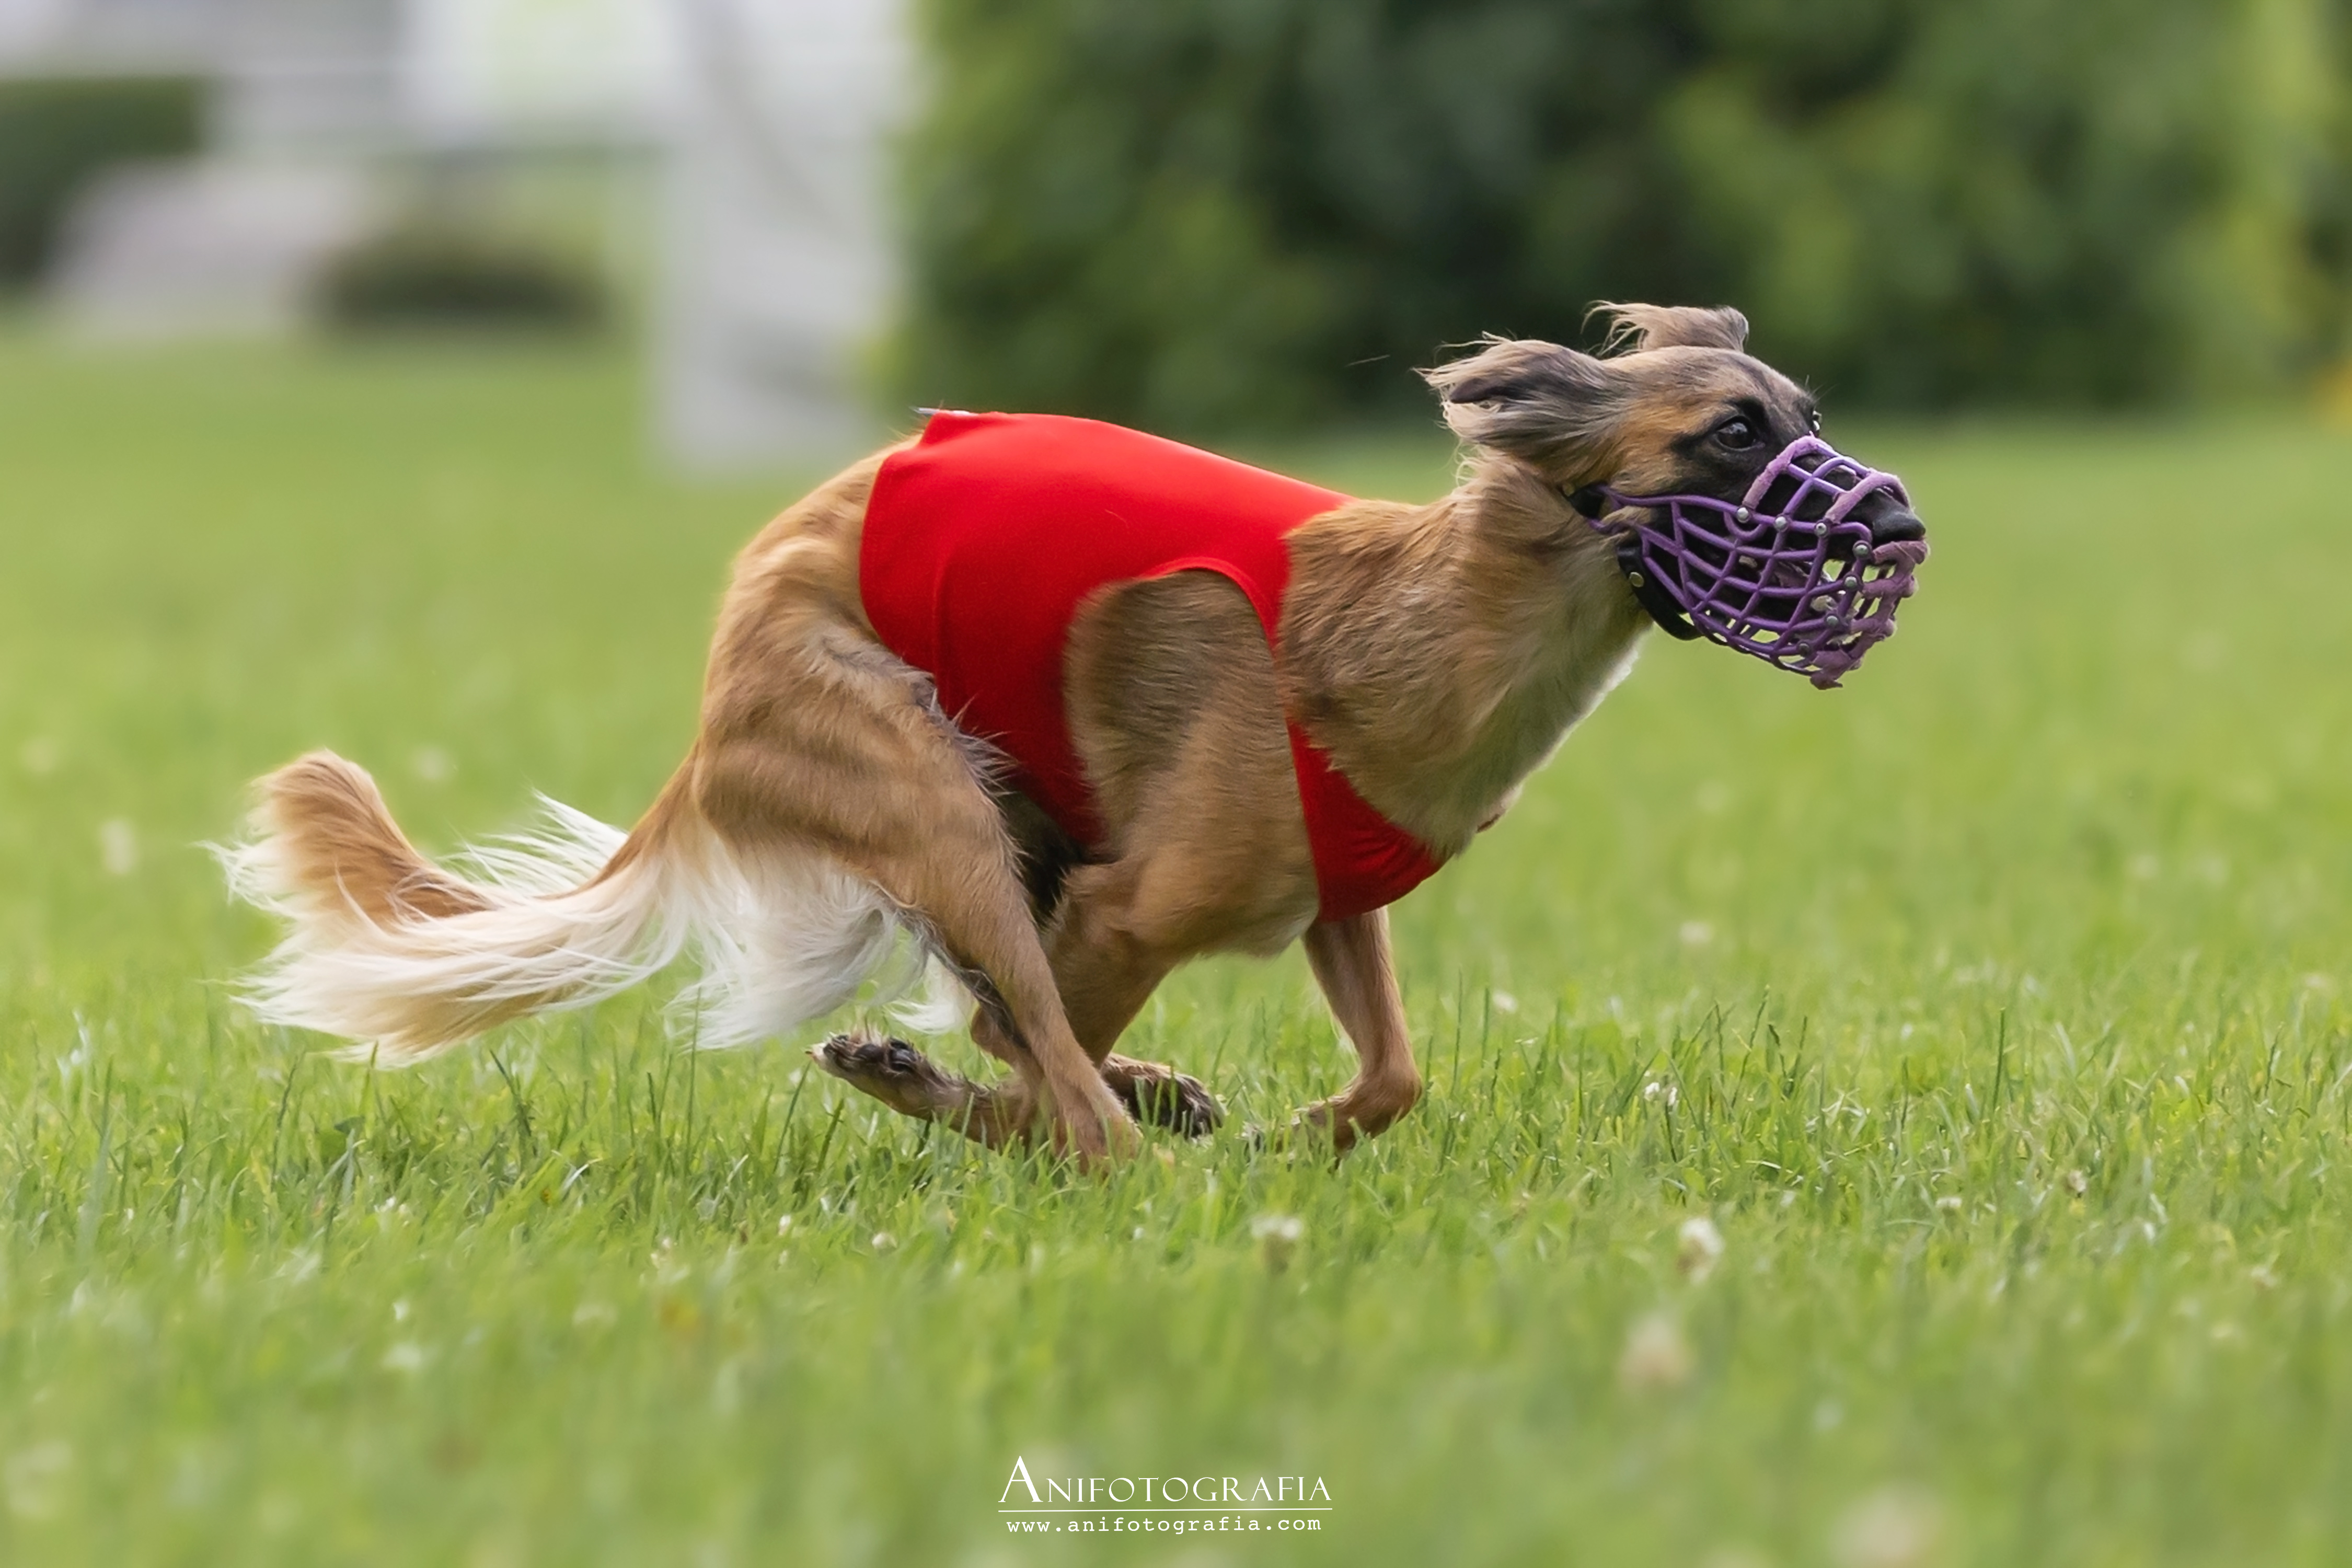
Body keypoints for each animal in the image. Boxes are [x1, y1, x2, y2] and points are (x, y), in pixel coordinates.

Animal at [224, 303, 1924, 1164]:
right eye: (1729, 431)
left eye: (1806, 411)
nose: (1901, 520)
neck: (1426, 632)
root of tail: (717, 692)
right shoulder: (1128, 905)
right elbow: (1048, 1061)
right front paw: (1172, 1126)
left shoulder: (1335, 894)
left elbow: (1392, 1073)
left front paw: (1308, 1123)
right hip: (928, 789)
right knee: (1047, 1078)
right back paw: (1072, 1118)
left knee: (1038, 1058)